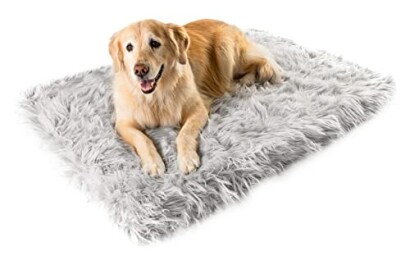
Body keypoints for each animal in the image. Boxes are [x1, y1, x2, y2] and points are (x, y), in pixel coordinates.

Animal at [109, 19, 282, 178]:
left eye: (154, 43)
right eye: (129, 47)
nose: (140, 70)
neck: (156, 96)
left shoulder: (198, 110)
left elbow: (184, 134)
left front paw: (187, 159)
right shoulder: (123, 123)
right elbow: (142, 139)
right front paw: (153, 163)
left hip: (225, 49)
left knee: (261, 63)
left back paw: (244, 81)